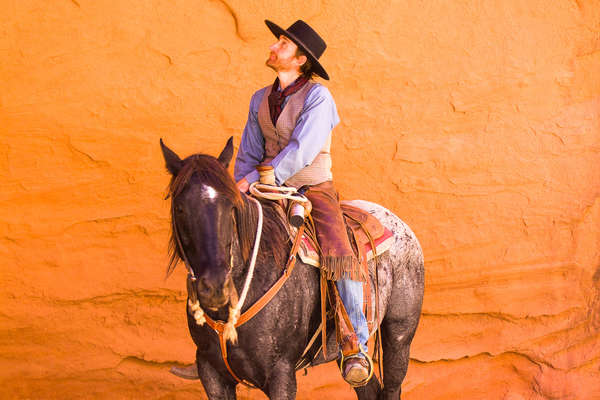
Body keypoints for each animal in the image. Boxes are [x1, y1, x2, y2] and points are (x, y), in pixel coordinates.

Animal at [158, 138, 422, 400]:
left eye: (231, 205)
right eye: (180, 208)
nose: (214, 286)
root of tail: (398, 224)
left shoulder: (281, 374)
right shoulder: (211, 373)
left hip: (399, 336)